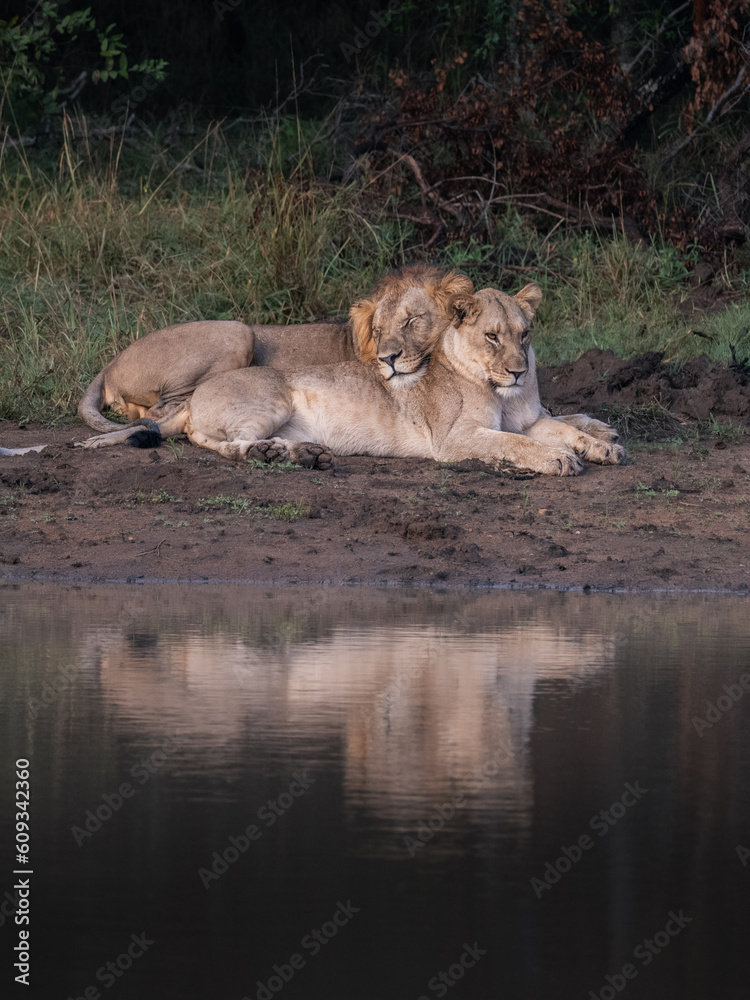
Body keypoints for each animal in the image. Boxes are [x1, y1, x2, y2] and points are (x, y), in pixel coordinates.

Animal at [183, 284, 625, 475]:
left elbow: (564, 430)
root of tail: (190, 401)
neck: (505, 394)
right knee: (230, 445)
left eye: (525, 334)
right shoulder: (454, 438)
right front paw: (558, 459)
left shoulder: (530, 420)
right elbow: (512, 443)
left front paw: (603, 448)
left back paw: (304, 454)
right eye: (492, 336)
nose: (518, 371)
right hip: (272, 402)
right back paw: (268, 453)